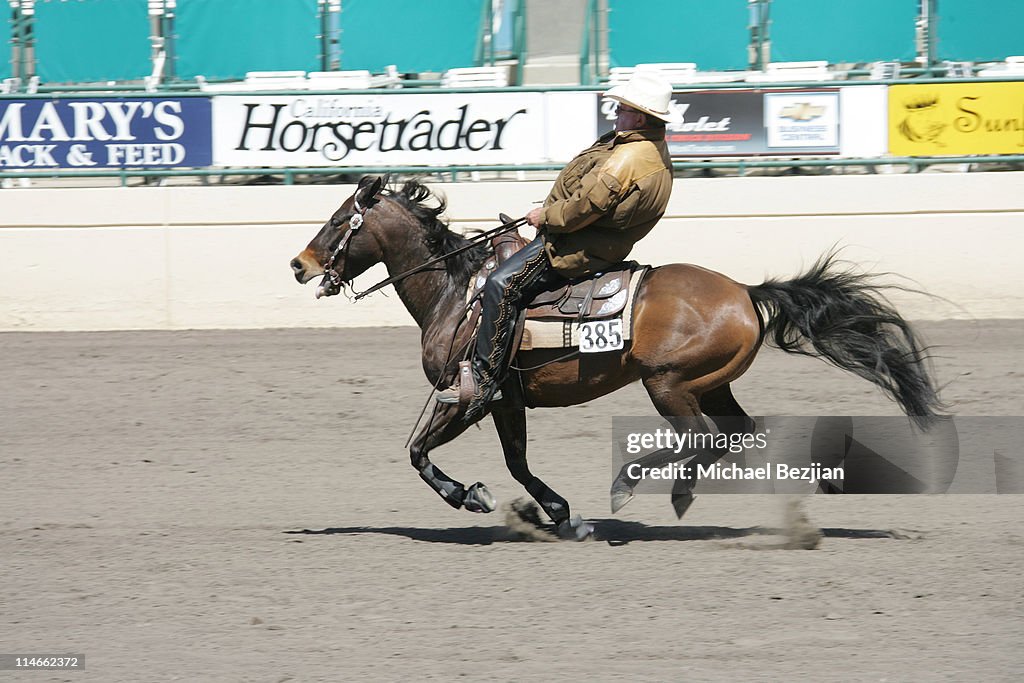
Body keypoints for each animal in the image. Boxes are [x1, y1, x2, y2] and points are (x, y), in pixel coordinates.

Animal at [290, 176, 942, 540]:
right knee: (734, 433)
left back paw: (635, 485)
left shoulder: (470, 395)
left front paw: (470, 495)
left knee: (702, 437)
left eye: (338, 221)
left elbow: (419, 453)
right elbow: (517, 462)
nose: (300, 264)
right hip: (711, 384)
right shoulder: (506, 400)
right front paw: (560, 514)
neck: (459, 293)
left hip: (668, 384)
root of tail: (745, 292)